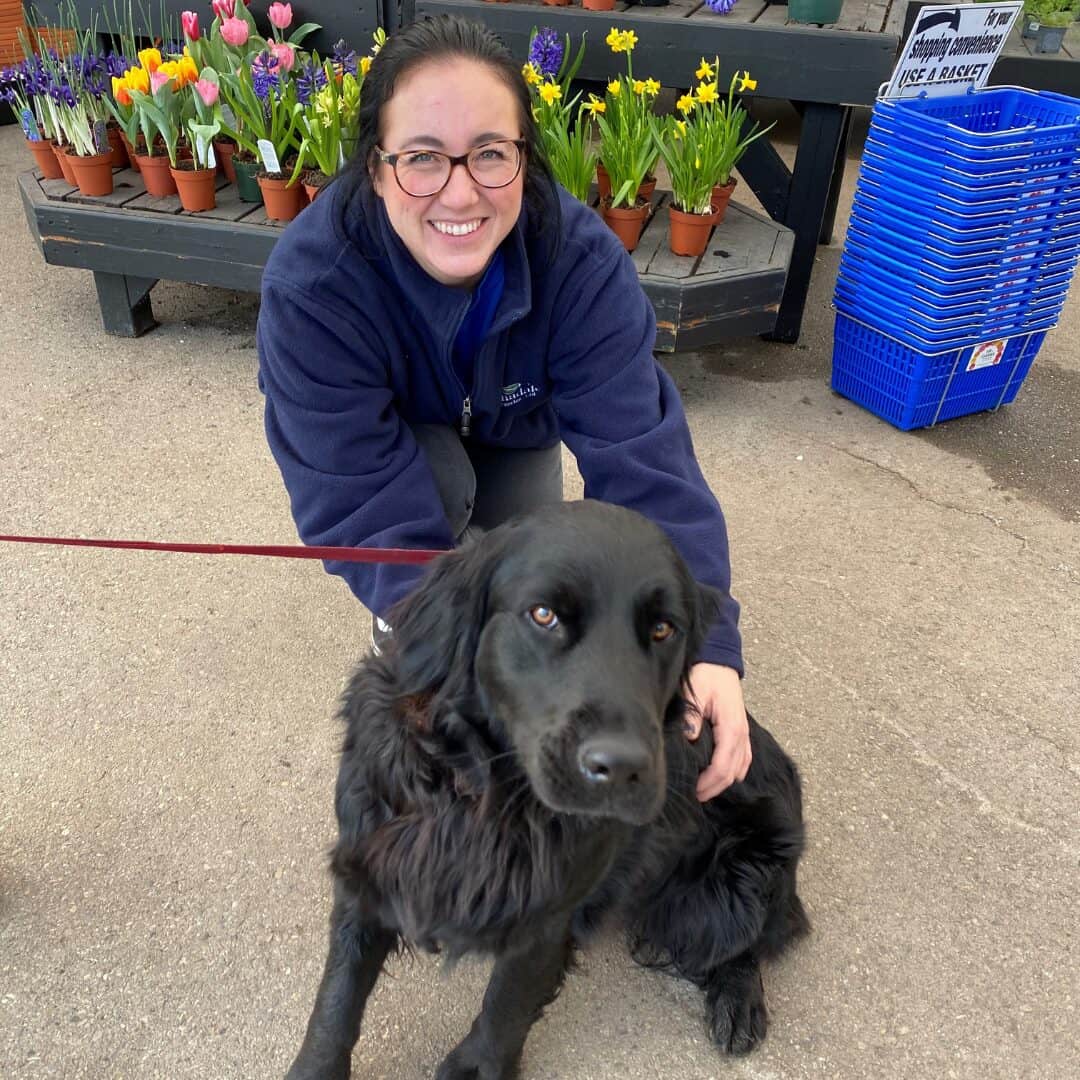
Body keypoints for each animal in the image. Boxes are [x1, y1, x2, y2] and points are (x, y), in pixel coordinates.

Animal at [287, 501, 812, 1075]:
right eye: (543, 615)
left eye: (662, 629)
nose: (623, 769)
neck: (482, 793)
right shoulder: (369, 865)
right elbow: (336, 1001)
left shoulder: (547, 919)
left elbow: (505, 1009)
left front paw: (476, 1068)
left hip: (728, 890)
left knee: (748, 940)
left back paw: (739, 1000)